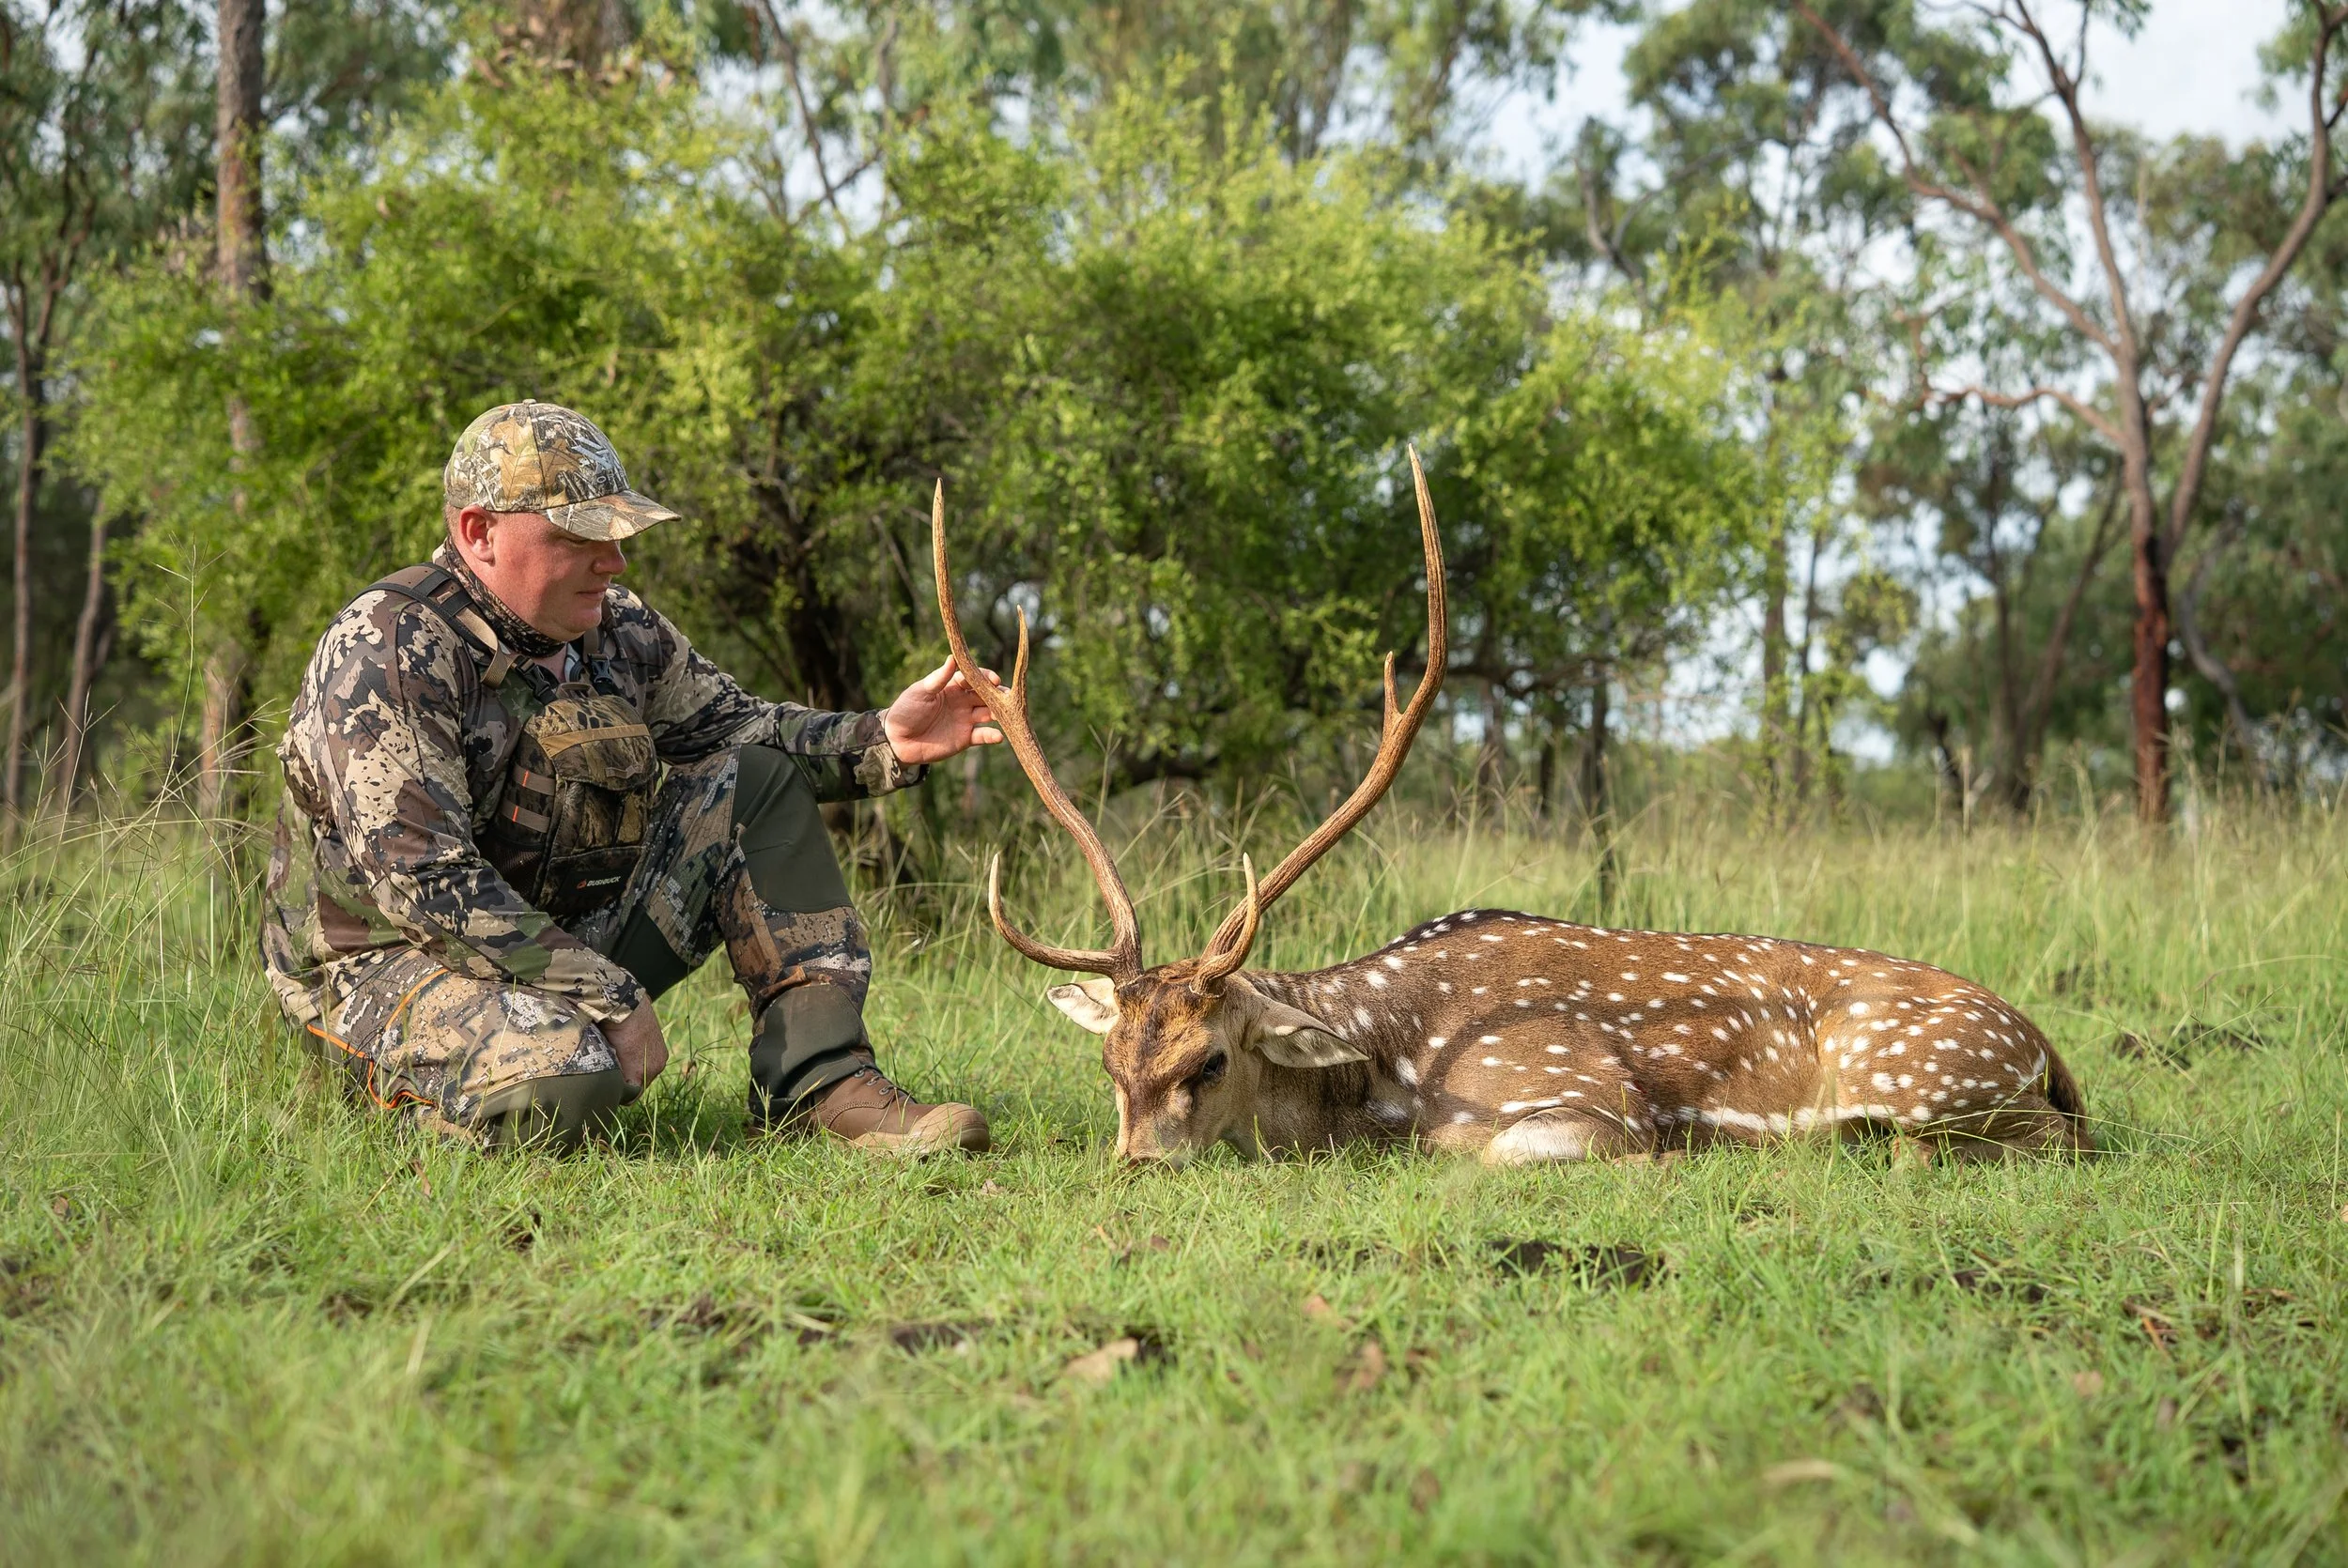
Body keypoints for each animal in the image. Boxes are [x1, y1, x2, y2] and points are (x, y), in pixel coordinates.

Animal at [929, 460, 2090, 1166]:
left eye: (1206, 1060)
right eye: (1110, 1065)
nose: (1138, 1164)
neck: (1392, 1069)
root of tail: (2044, 1047)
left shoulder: (1574, 1097)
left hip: (1923, 1073)